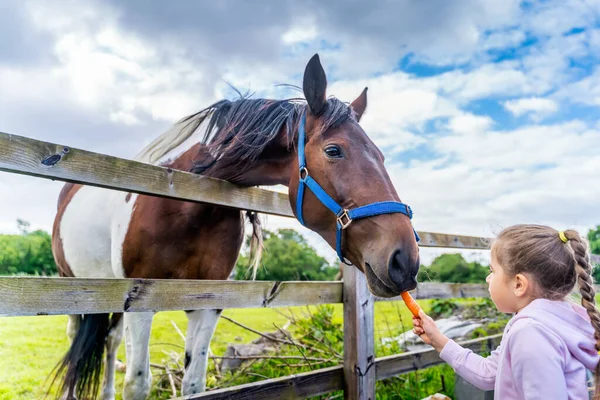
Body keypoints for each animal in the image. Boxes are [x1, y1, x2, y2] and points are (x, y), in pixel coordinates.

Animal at [49, 54, 420, 400]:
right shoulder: (141, 302)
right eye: (333, 150)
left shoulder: (208, 304)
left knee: (109, 342)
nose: (405, 260)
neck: (185, 205)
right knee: (77, 342)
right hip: (76, 287)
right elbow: (137, 385)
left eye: (381, 156)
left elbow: (193, 384)